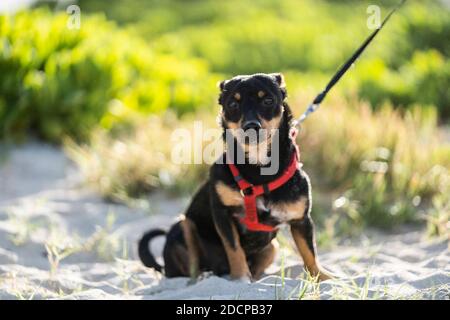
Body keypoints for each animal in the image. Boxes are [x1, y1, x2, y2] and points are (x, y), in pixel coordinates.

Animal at [139, 72, 332, 280]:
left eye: (268, 100)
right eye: (232, 104)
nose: (251, 126)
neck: (258, 169)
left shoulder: (301, 221)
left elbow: (309, 252)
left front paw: (323, 277)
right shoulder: (223, 214)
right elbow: (234, 249)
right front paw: (240, 278)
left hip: (273, 247)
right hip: (183, 226)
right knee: (191, 267)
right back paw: (202, 277)